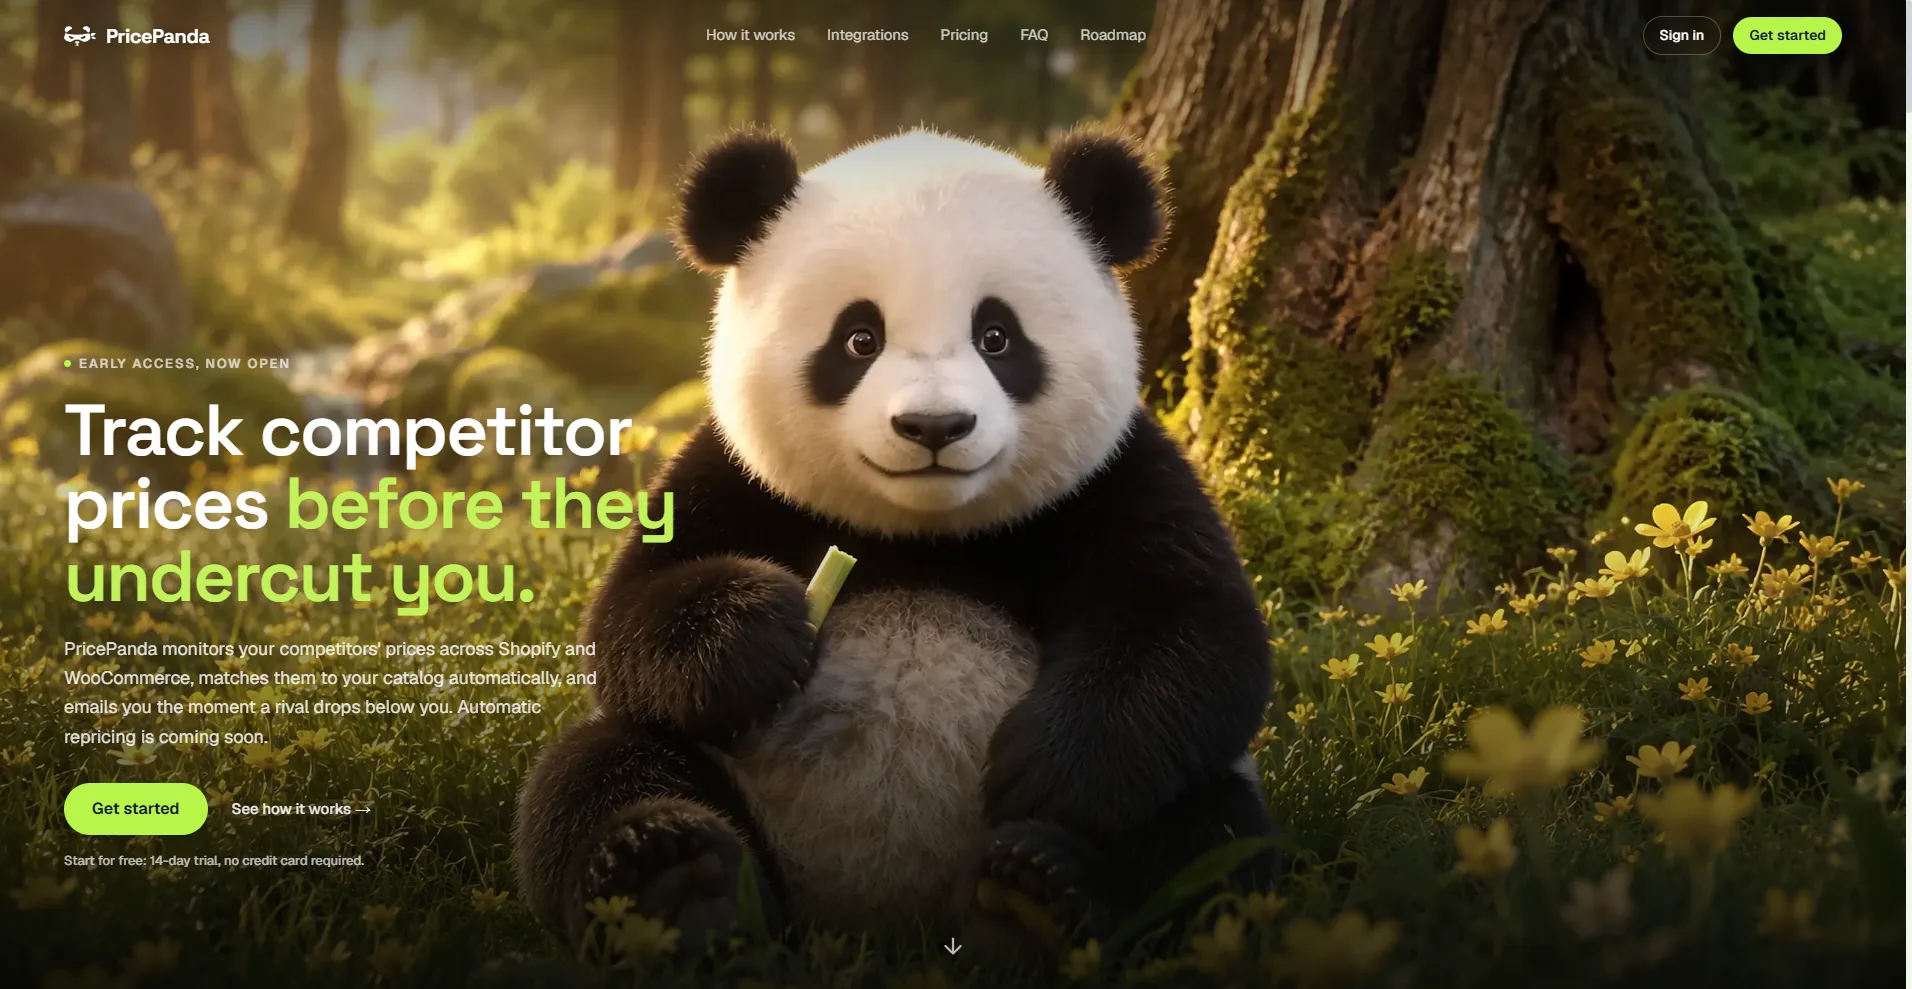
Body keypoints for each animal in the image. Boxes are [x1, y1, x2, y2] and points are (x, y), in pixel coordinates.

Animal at [515, 127, 1275, 951]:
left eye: (997, 336)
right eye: (859, 339)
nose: (934, 427)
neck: (923, 533)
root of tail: (877, 917)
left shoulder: (1113, 477)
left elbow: (1193, 632)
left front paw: (1046, 772)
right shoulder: (731, 476)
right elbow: (626, 618)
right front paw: (759, 630)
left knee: (1211, 836)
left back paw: (1038, 893)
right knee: (597, 770)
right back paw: (674, 880)